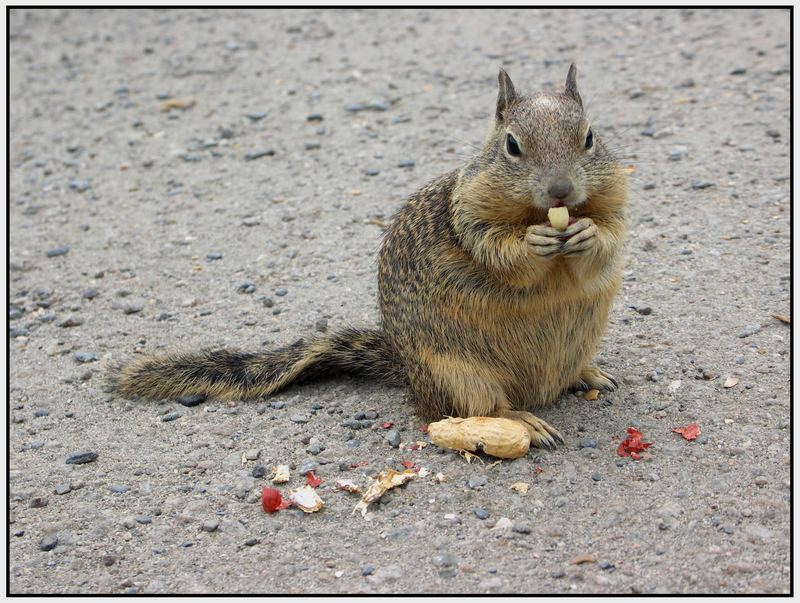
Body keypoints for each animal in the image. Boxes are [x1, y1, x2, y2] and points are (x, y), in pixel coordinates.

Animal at [114, 67, 624, 452]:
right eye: (512, 145)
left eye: (590, 137)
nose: (561, 190)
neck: (539, 213)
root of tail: (405, 370)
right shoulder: (469, 217)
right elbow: (498, 252)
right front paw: (533, 242)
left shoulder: (616, 201)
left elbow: (610, 239)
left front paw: (587, 234)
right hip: (459, 377)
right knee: (481, 410)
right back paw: (524, 420)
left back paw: (588, 374)